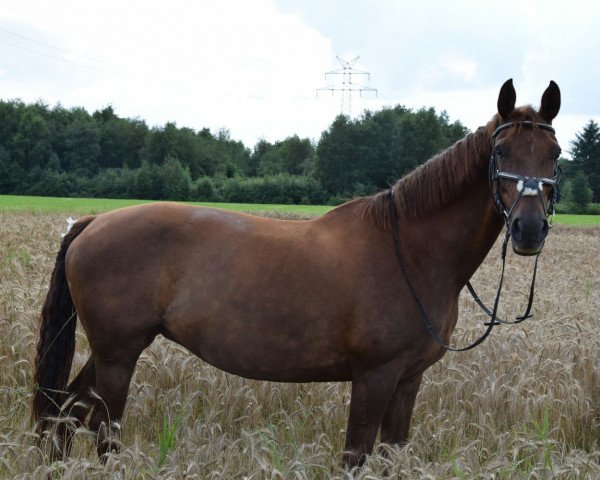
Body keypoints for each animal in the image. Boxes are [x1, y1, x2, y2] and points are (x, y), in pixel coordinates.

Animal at [32, 79, 560, 468]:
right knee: (101, 429)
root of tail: (91, 223)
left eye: (553, 155)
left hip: (113, 351)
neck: (409, 250)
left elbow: (391, 455)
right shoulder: (374, 376)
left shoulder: (408, 380)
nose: (529, 229)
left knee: (64, 415)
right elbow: (355, 455)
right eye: (501, 153)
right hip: (118, 354)